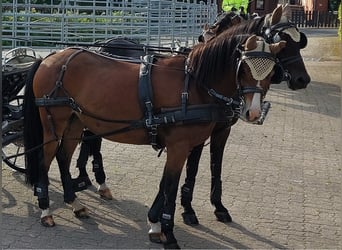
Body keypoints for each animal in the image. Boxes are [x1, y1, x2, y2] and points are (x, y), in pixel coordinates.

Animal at [24, 28, 286, 247]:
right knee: (45, 158)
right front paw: (169, 233)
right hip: (54, 122)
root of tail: (50, 58)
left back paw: (74, 203)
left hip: (75, 121)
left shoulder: (182, 146)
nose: (253, 113)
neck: (193, 85)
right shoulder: (180, 146)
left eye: (271, 71)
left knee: (63, 157)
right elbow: (170, 186)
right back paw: (45, 209)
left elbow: (165, 183)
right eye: (244, 68)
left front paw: (155, 224)